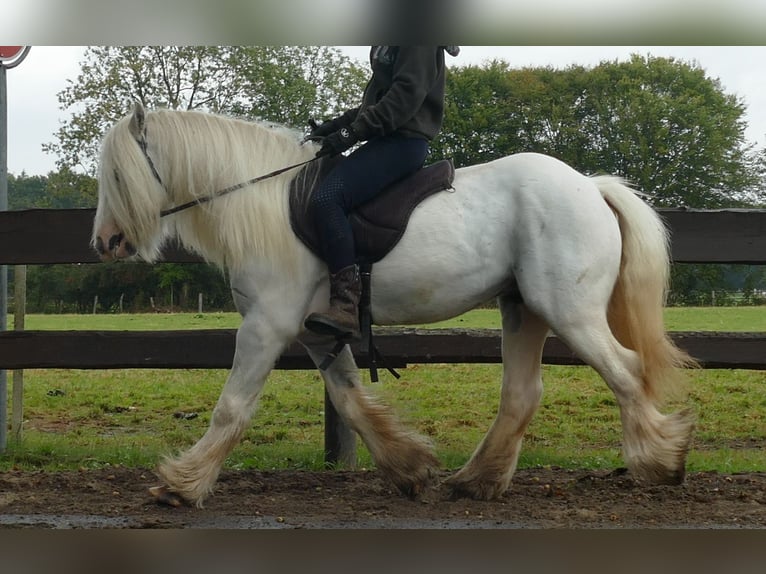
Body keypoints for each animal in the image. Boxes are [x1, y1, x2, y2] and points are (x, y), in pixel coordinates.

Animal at [93, 103, 700, 508]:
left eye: (119, 174)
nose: (104, 243)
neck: (262, 201)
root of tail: (590, 186)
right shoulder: (316, 332)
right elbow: (352, 402)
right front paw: (410, 467)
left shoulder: (266, 327)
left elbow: (232, 407)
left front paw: (181, 483)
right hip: (523, 308)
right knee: (523, 393)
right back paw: (476, 480)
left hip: (568, 310)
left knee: (626, 370)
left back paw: (662, 460)